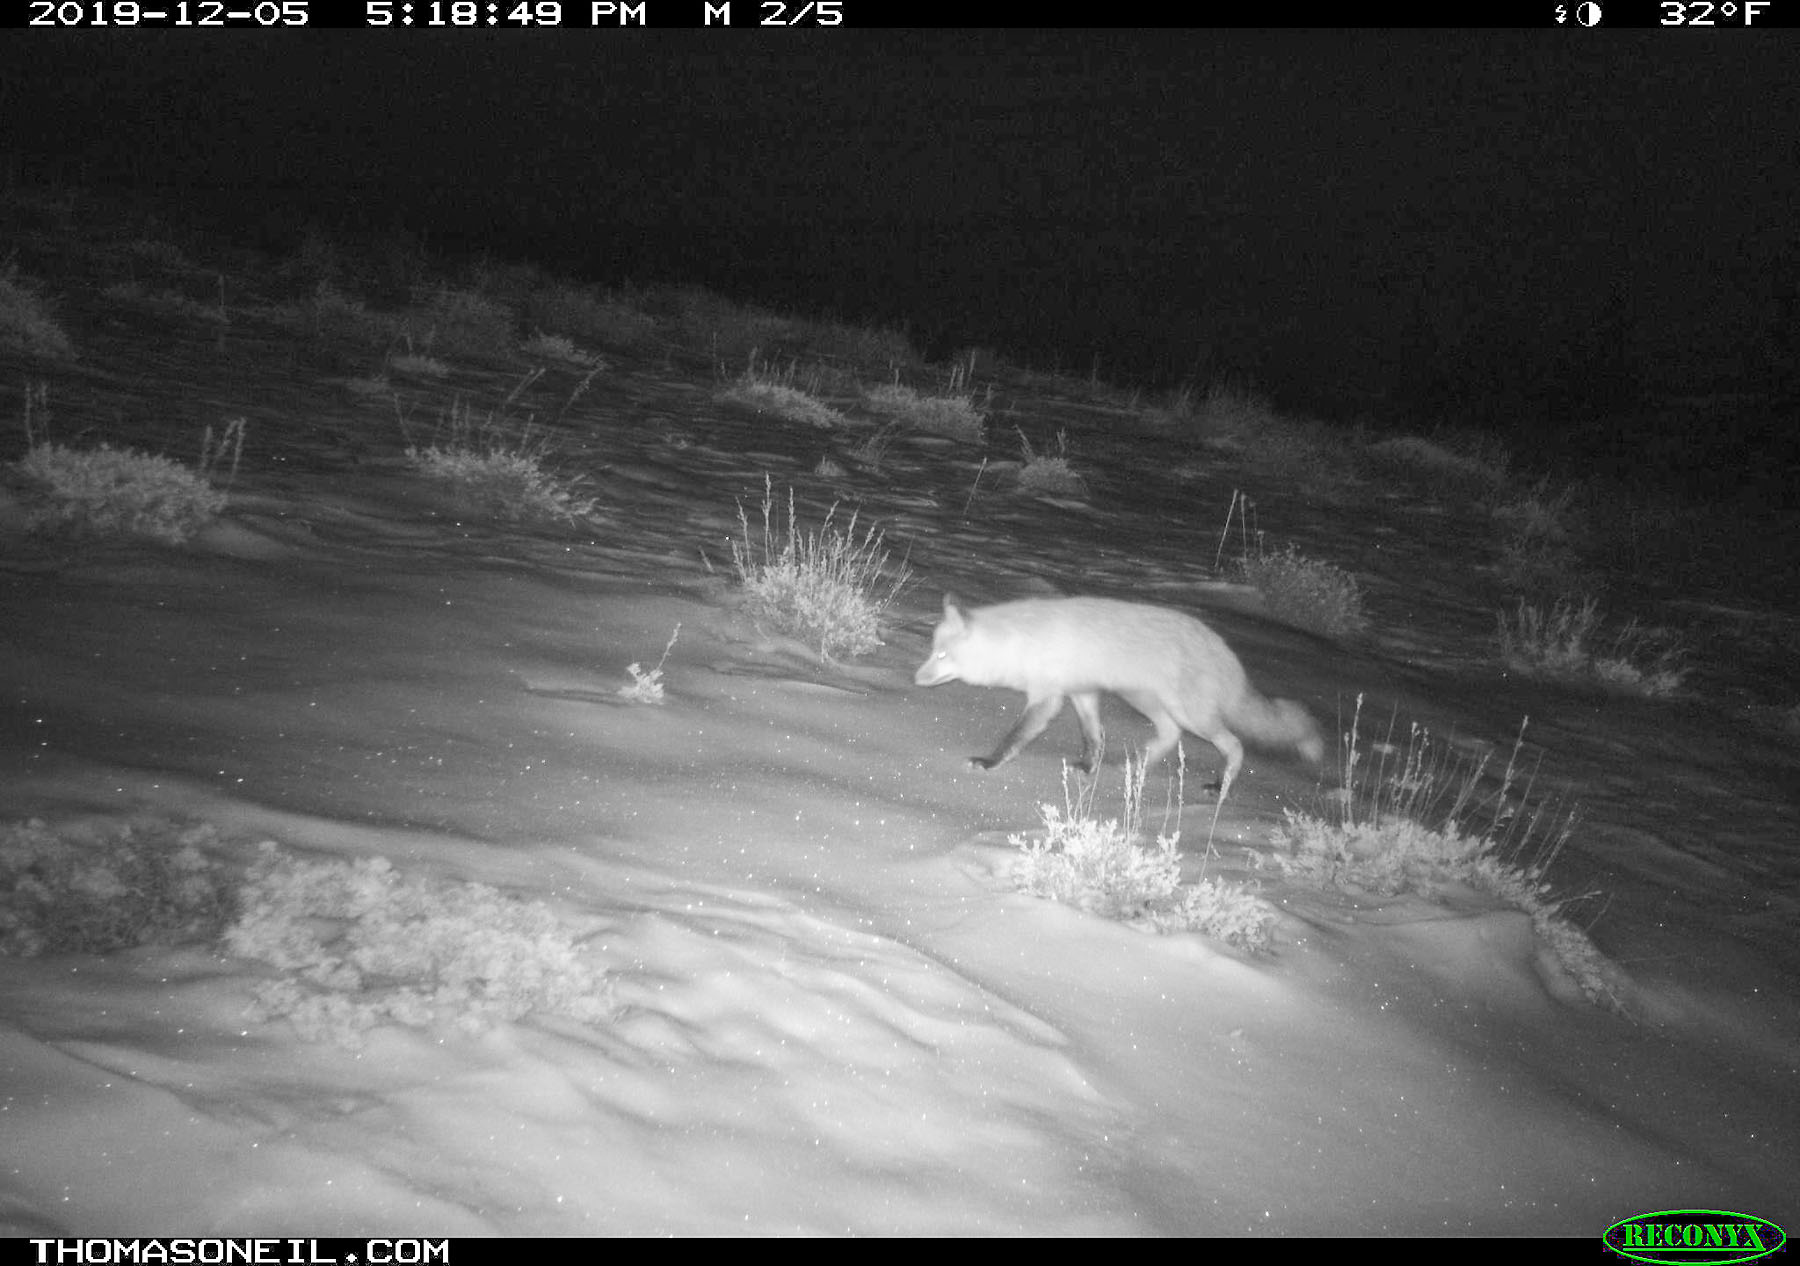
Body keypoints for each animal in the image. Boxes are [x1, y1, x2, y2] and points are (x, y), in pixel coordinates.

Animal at [914, 594, 1324, 796]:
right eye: (932, 651)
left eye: (942, 656)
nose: (916, 679)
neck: (1022, 642)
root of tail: (1223, 649)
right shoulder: (1082, 693)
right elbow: (1093, 738)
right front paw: (1087, 769)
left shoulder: (1048, 697)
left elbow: (1014, 738)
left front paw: (988, 762)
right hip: (1144, 701)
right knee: (1169, 735)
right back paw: (1136, 770)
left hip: (1189, 713)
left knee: (1234, 744)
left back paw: (1221, 787)